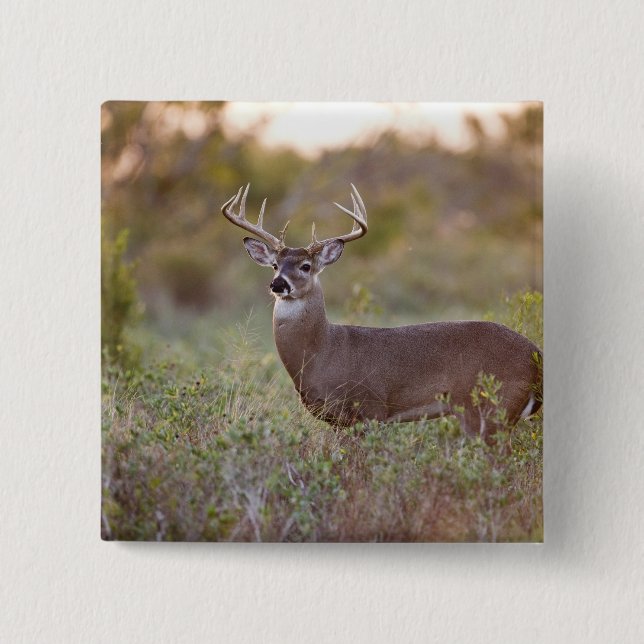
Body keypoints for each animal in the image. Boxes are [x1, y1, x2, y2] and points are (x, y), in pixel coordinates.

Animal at [221, 184, 542, 442]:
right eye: (275, 265)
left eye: (305, 266)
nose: (278, 284)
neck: (322, 352)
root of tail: (535, 356)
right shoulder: (338, 421)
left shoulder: (370, 409)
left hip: (489, 408)